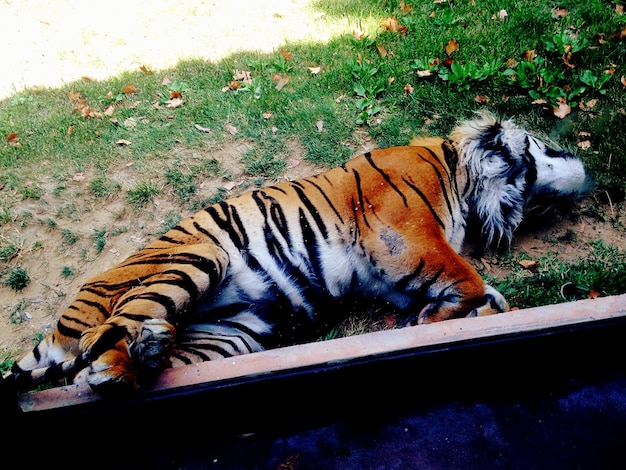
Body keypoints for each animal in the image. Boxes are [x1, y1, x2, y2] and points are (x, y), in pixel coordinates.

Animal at [3, 112, 588, 394]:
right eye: (549, 147)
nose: (586, 166)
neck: (459, 174)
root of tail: (68, 316)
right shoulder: (404, 235)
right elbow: (467, 278)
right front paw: (429, 320)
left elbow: (489, 299)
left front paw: (434, 318)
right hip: (196, 257)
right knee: (109, 334)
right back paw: (117, 365)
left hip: (230, 335)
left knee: (116, 358)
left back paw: (146, 352)